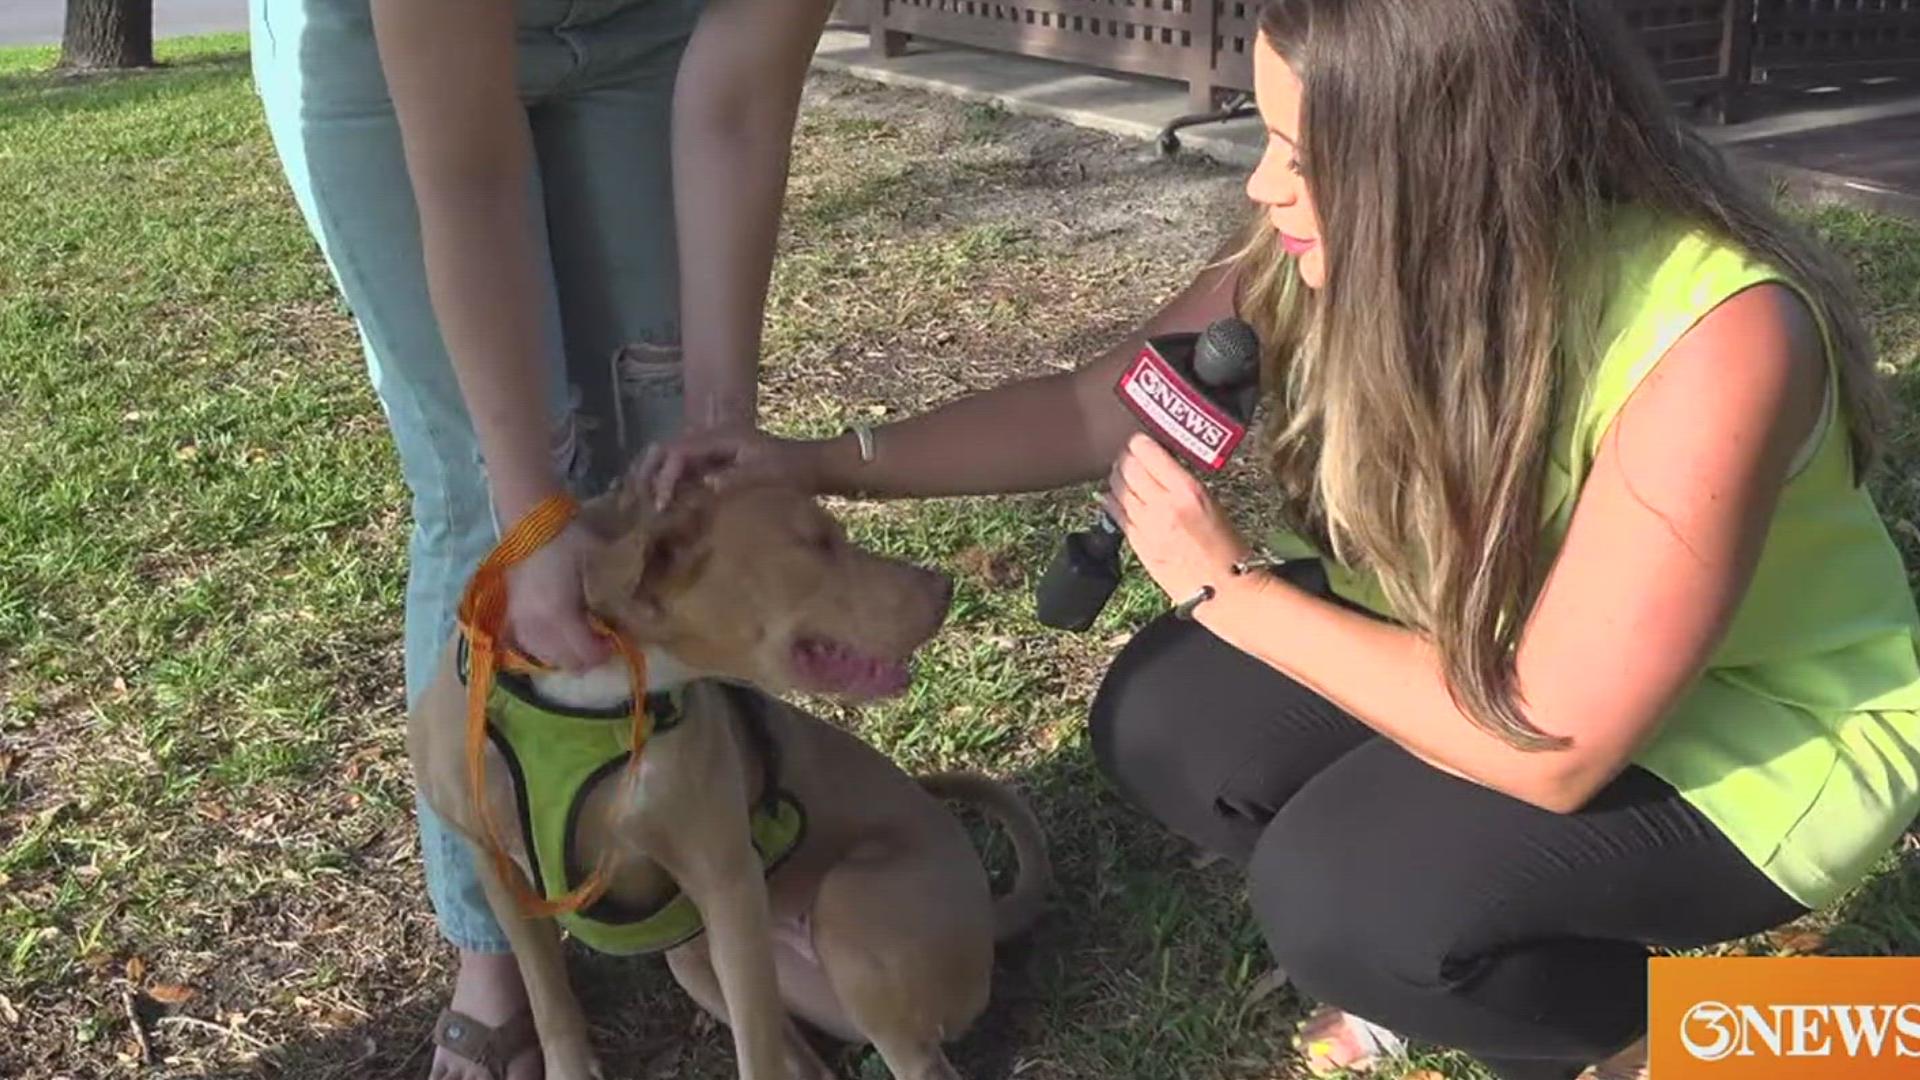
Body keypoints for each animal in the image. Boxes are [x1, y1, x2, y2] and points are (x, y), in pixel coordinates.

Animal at [407, 468, 1059, 1076]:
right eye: (817, 543)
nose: (944, 585)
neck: (599, 696)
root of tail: (989, 910)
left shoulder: (726, 881)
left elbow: (756, 1050)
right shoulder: (501, 874)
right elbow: (549, 1002)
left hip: (848, 908)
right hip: (697, 960)